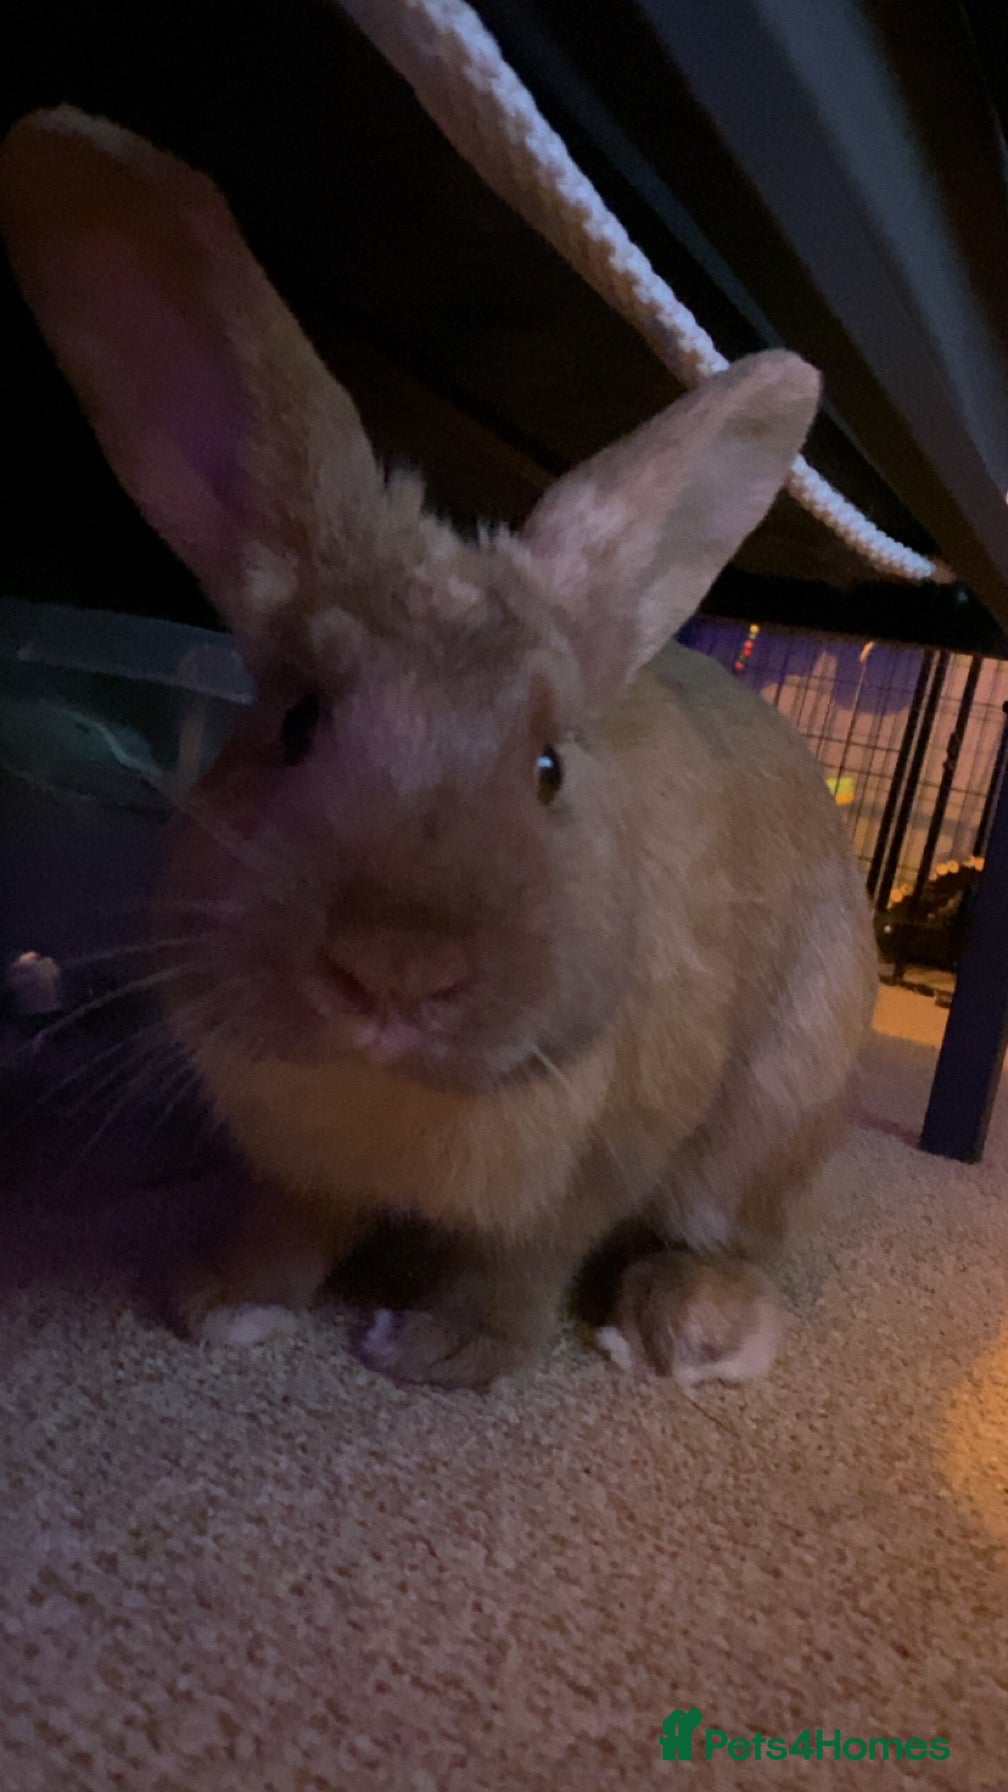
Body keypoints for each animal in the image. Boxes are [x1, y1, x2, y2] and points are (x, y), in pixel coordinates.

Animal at [0, 107, 878, 1388]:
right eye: (297, 720)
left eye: (550, 767)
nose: (393, 970)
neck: (389, 1083)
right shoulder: (289, 1166)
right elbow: (285, 1224)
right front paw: (222, 1304)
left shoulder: (591, 1168)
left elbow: (521, 1266)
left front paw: (440, 1350)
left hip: (775, 1105)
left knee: (731, 1235)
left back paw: (681, 1330)